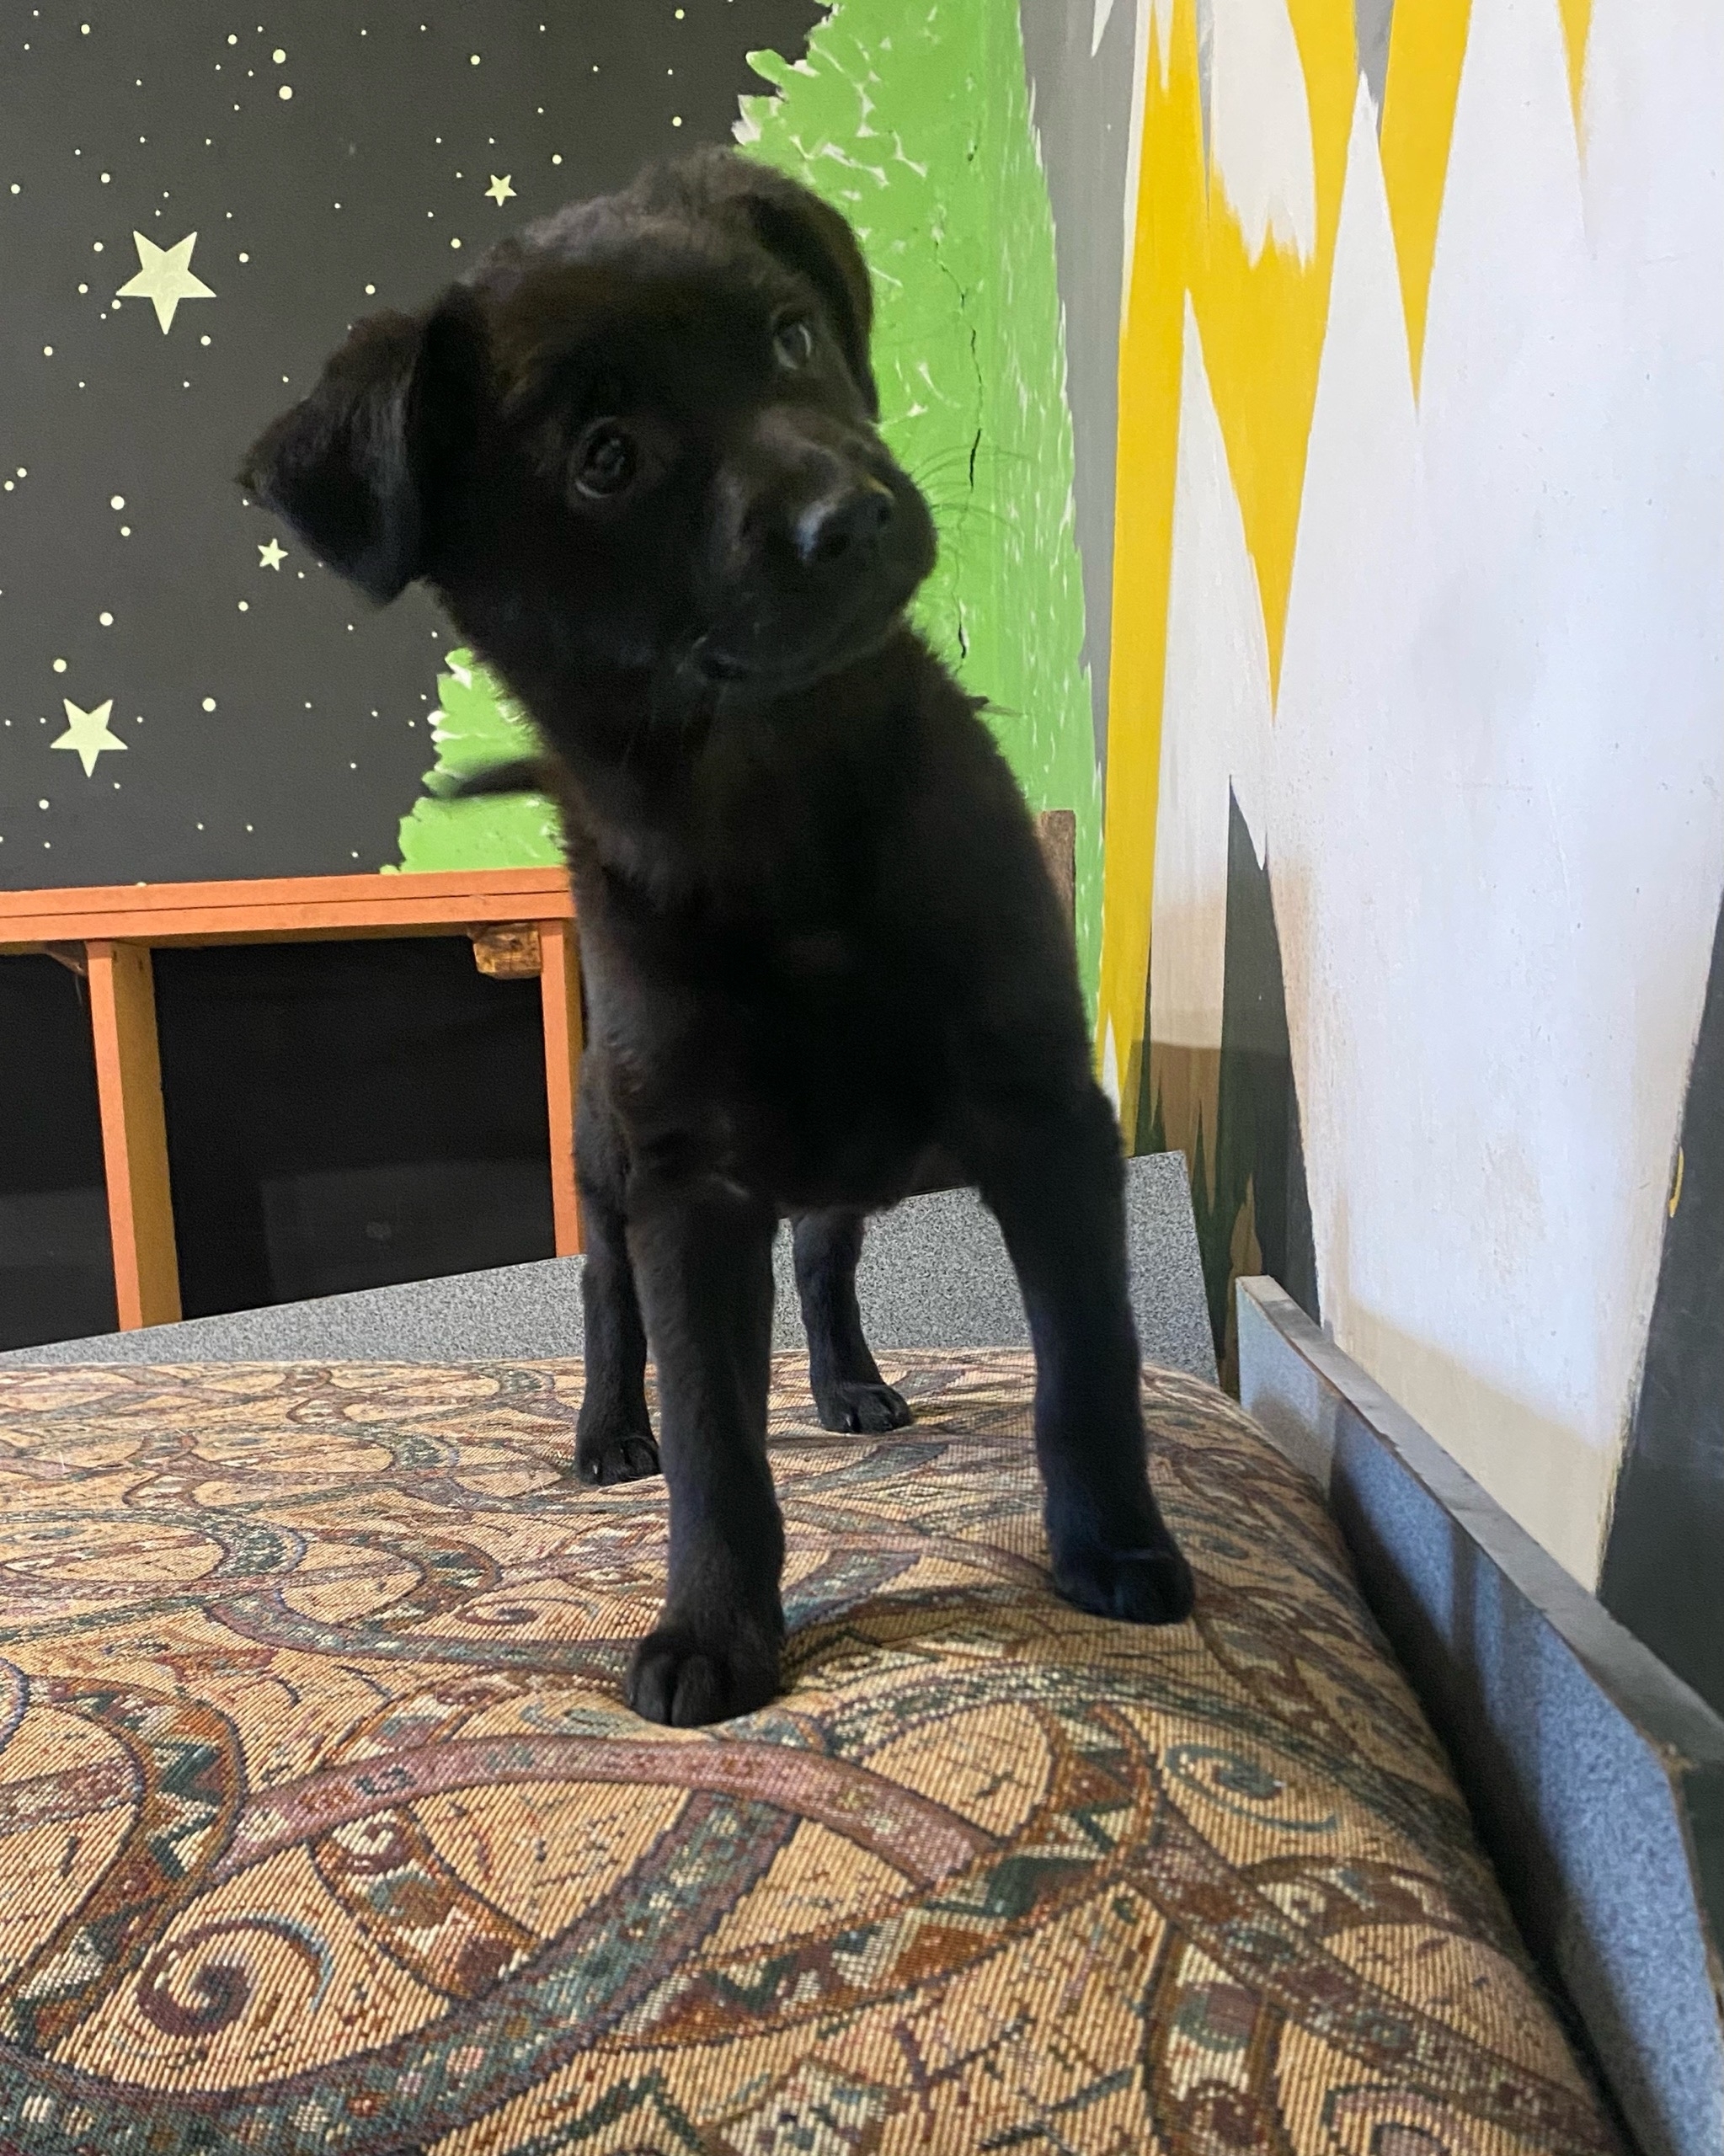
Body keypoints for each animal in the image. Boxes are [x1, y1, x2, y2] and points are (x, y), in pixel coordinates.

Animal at [241, 149, 1195, 1727]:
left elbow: (1088, 1364)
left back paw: (849, 1383)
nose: (848, 516)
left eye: (791, 337)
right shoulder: (689, 1186)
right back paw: (605, 1430)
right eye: (605, 457)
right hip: (611, 1162)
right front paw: (712, 1623)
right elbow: (711, 1437)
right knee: (604, 1295)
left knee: (824, 1260)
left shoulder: (1048, 1116)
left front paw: (1112, 1547)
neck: (782, 808)